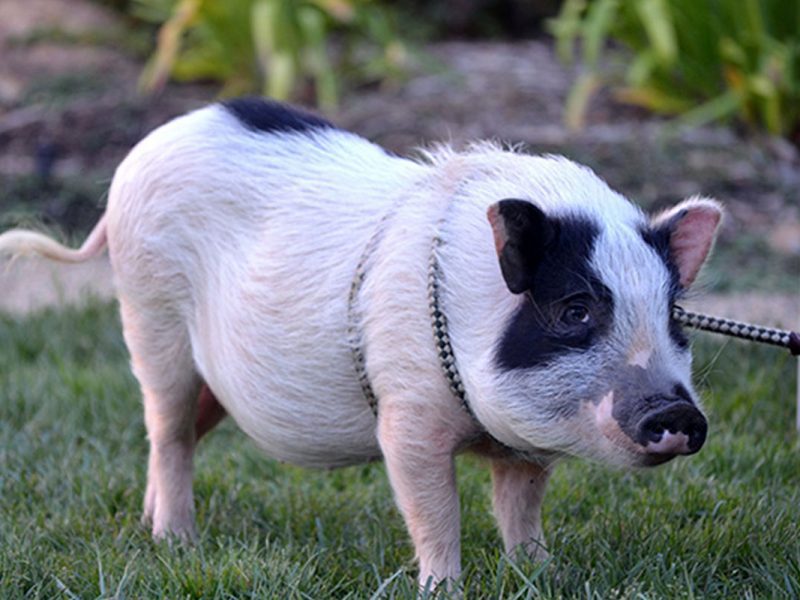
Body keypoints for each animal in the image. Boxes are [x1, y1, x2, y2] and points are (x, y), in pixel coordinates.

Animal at [0, 97, 720, 584]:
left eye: (673, 315)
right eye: (575, 310)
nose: (678, 412)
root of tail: (144, 148)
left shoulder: (524, 447)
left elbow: (520, 507)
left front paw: (541, 575)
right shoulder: (407, 415)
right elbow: (434, 509)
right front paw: (442, 587)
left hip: (209, 372)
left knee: (171, 436)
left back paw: (153, 530)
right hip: (150, 314)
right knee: (168, 431)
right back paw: (179, 544)